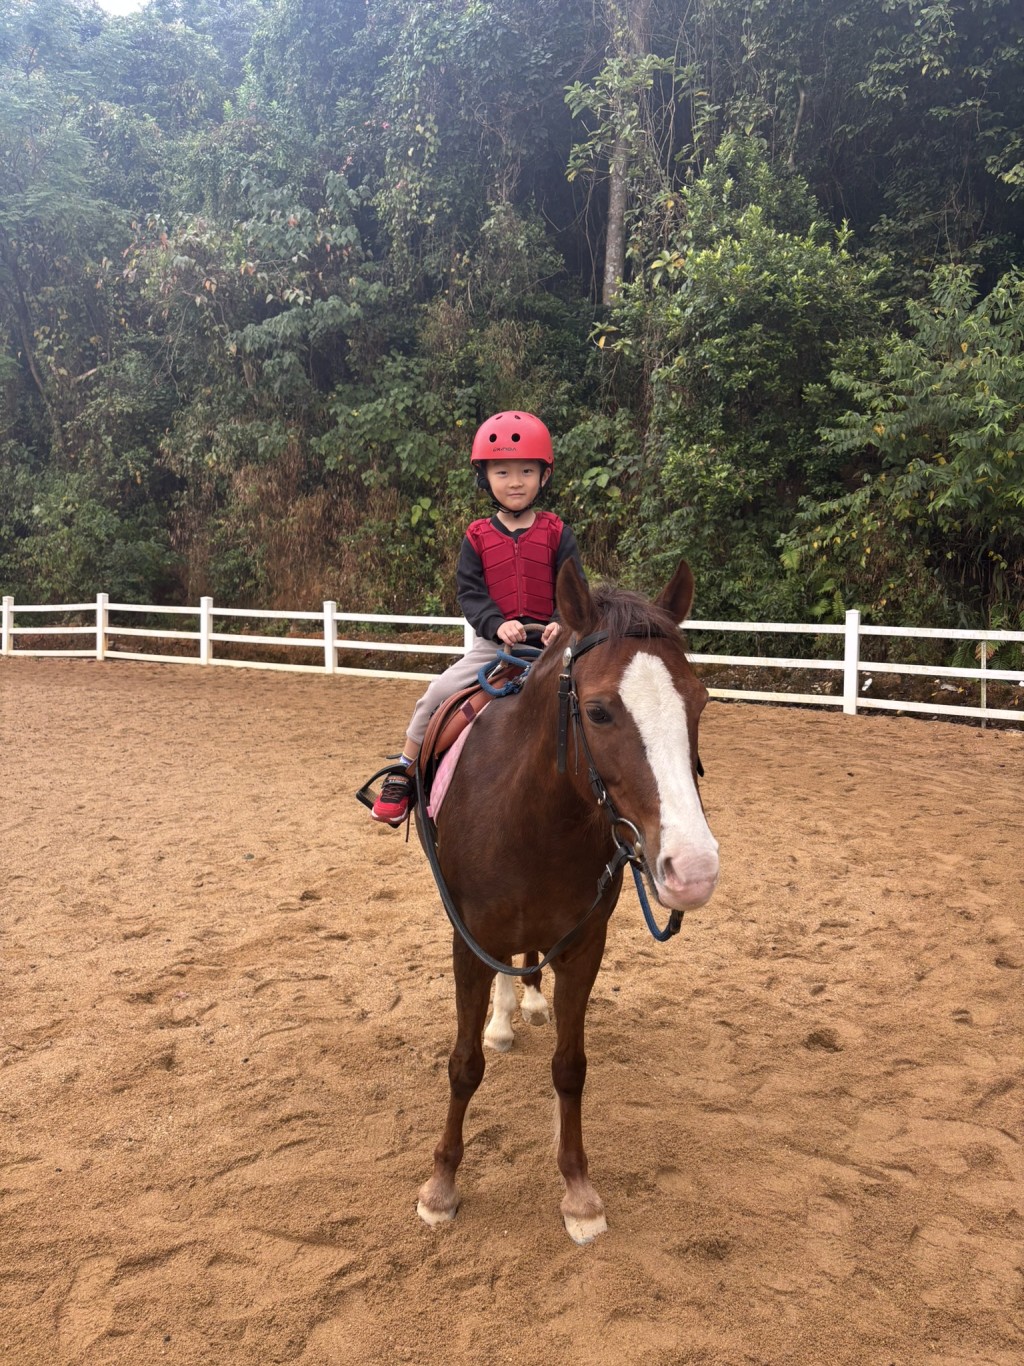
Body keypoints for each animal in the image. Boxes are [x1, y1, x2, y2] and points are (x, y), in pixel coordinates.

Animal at [415, 558, 720, 1244]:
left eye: (699, 701)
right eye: (600, 712)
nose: (693, 869)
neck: (534, 819)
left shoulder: (585, 946)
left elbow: (571, 1067)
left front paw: (579, 1192)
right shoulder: (468, 941)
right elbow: (463, 1063)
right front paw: (442, 1187)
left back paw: (527, 1004)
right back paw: (504, 1020)